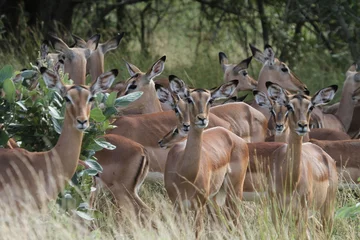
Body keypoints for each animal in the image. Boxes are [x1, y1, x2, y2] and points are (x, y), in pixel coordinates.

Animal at [165, 80, 249, 236]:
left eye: (210, 100)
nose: (202, 118)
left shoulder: (199, 207)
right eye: (189, 99)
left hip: (234, 192)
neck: (185, 174)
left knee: (237, 223)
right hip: (216, 197)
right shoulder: (177, 206)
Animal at [266, 81, 338, 235]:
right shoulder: (276, 211)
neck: (289, 180)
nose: (303, 125)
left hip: (326, 210)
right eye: (289, 106)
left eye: (310, 107)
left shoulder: (302, 212)